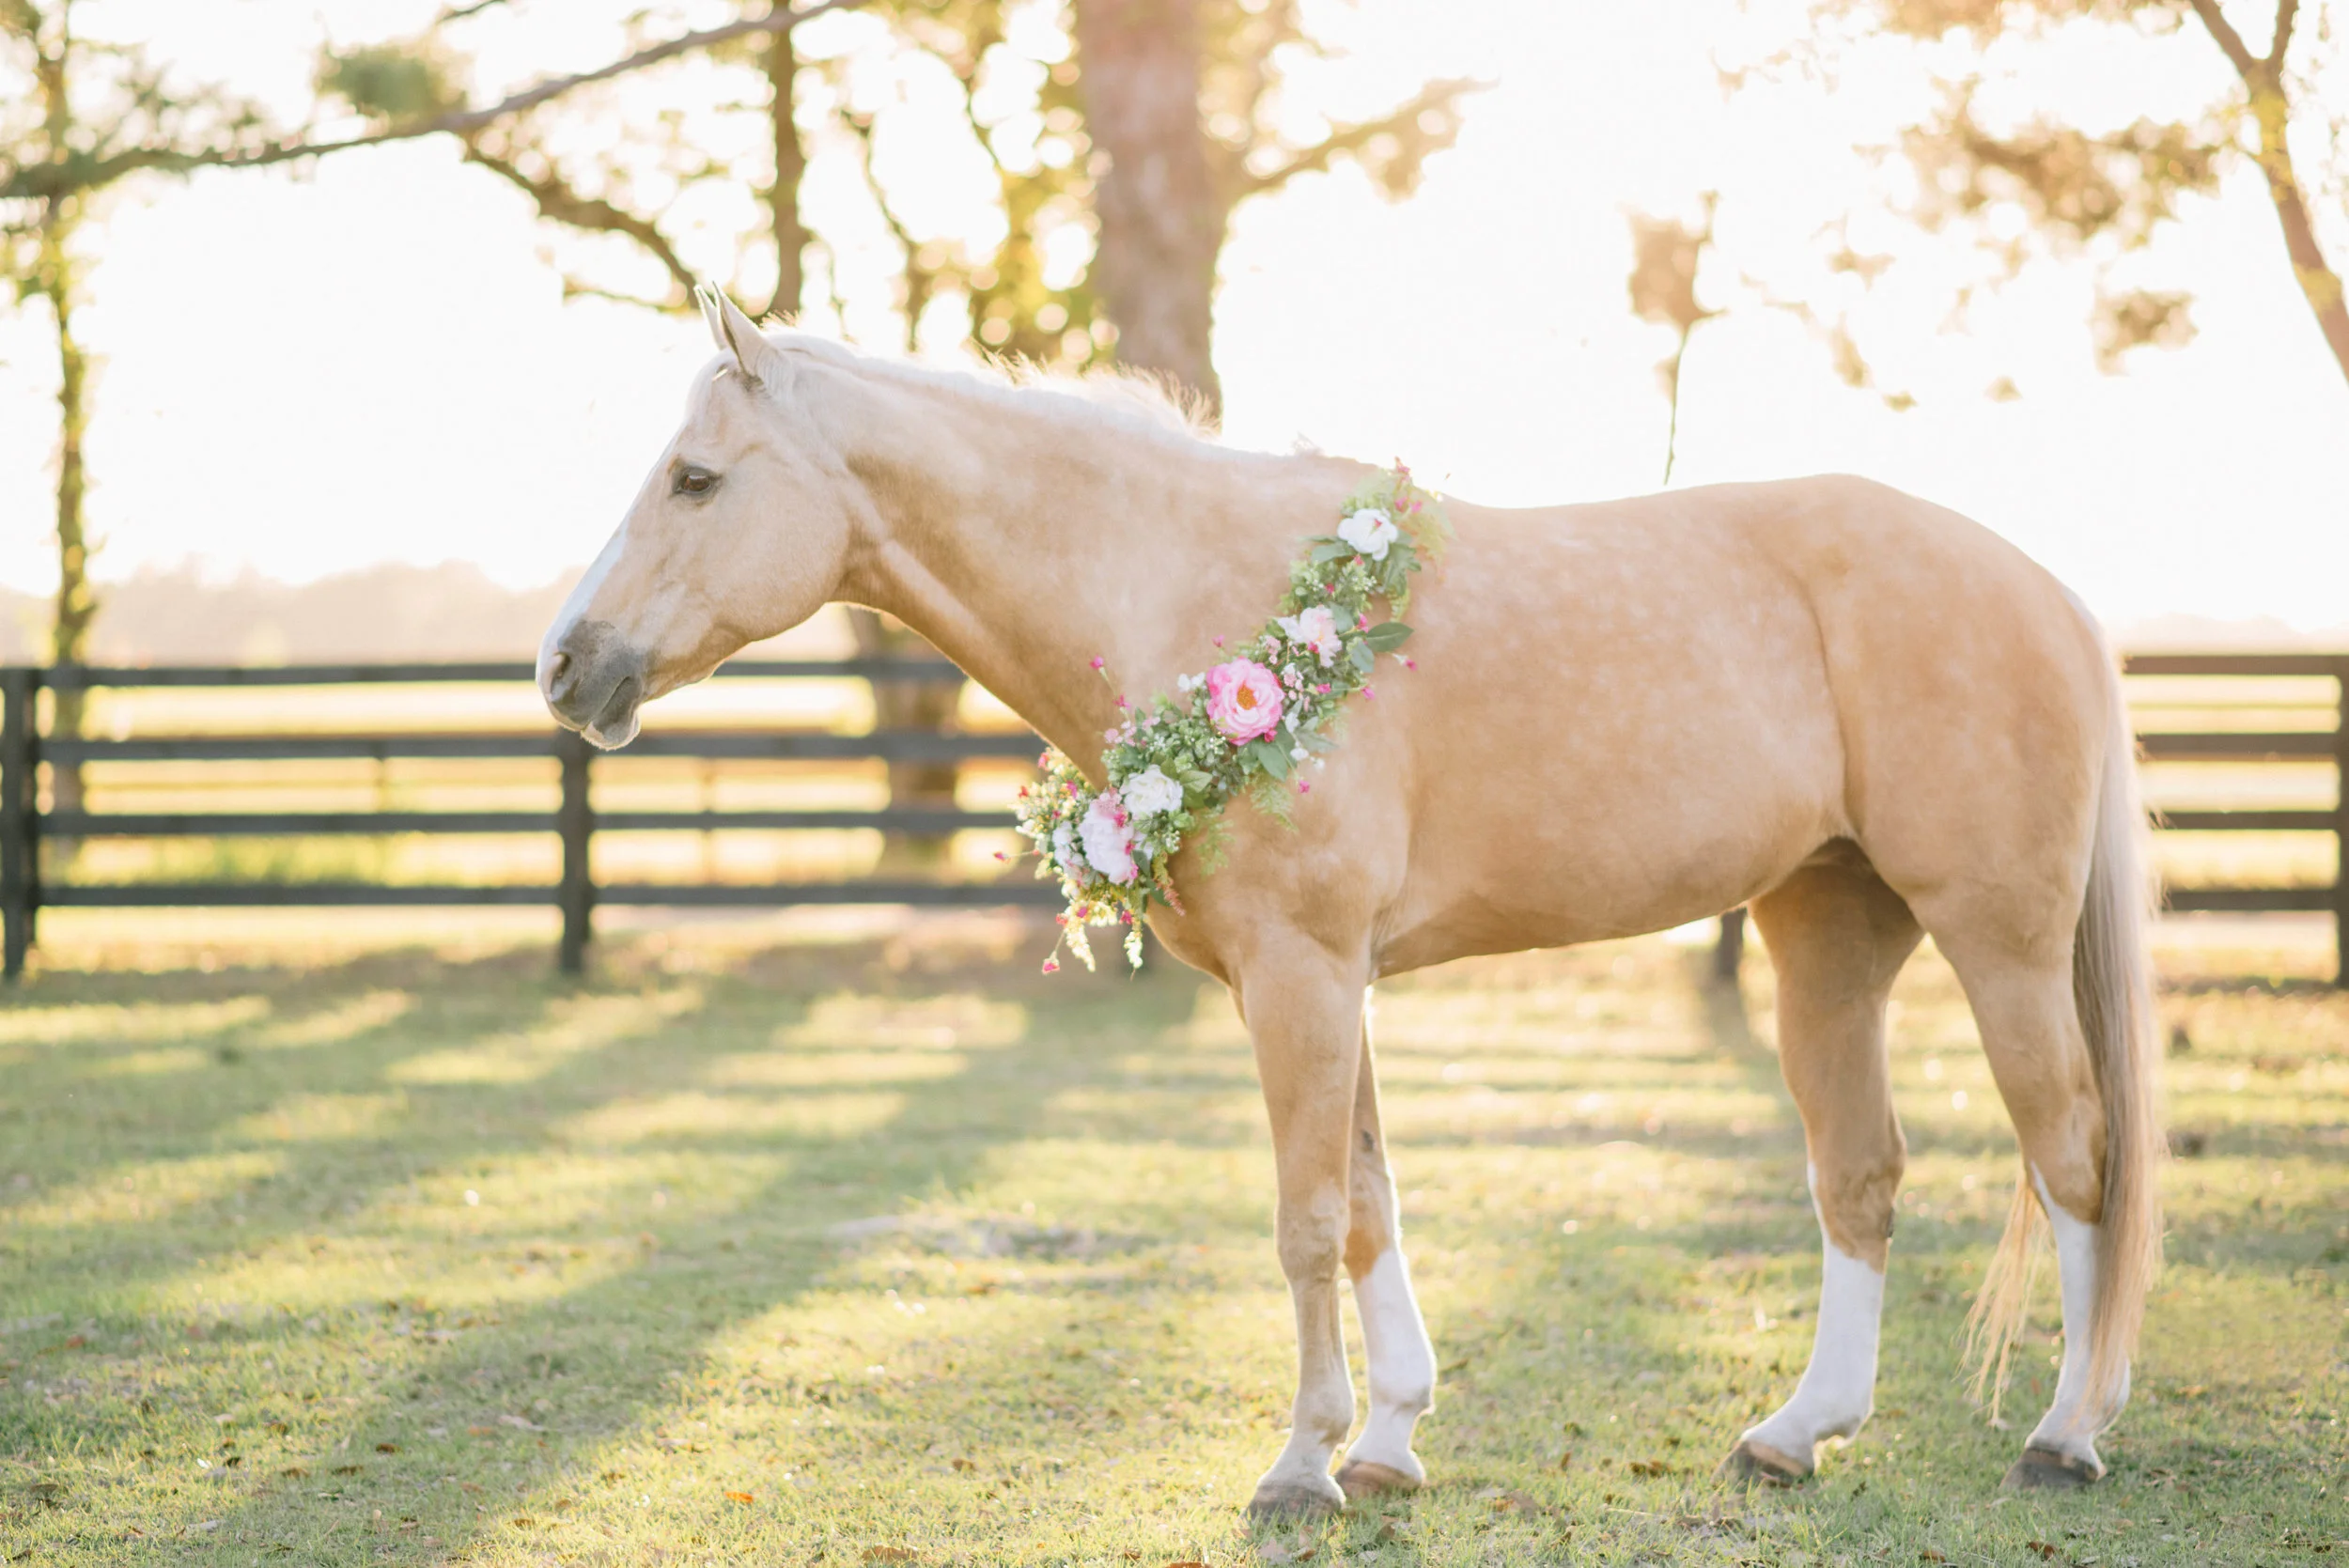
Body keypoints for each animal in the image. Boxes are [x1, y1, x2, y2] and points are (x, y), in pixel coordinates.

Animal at [537, 287, 2160, 1514]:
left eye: (696, 479)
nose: (566, 665)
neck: (1186, 584)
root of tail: (2048, 589)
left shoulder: (1303, 974)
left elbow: (1309, 1219)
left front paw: (1303, 1464)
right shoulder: (1325, 982)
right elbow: (1373, 1203)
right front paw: (1387, 1441)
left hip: (2001, 943)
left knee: (2075, 1155)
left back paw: (2067, 1434)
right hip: (1829, 937)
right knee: (1863, 1174)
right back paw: (1796, 1430)